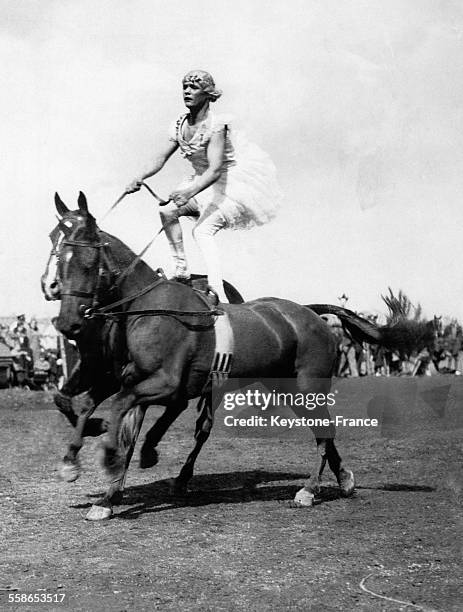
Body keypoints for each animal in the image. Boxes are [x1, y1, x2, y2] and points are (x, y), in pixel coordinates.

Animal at [52, 194, 356, 520]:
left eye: (86, 263)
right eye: (58, 259)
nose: (67, 323)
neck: (147, 307)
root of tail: (313, 314)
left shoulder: (165, 382)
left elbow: (122, 407)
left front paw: (110, 458)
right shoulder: (125, 377)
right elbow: (92, 406)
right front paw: (81, 470)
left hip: (308, 386)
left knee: (324, 431)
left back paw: (309, 489)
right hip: (283, 386)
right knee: (321, 432)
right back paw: (343, 479)